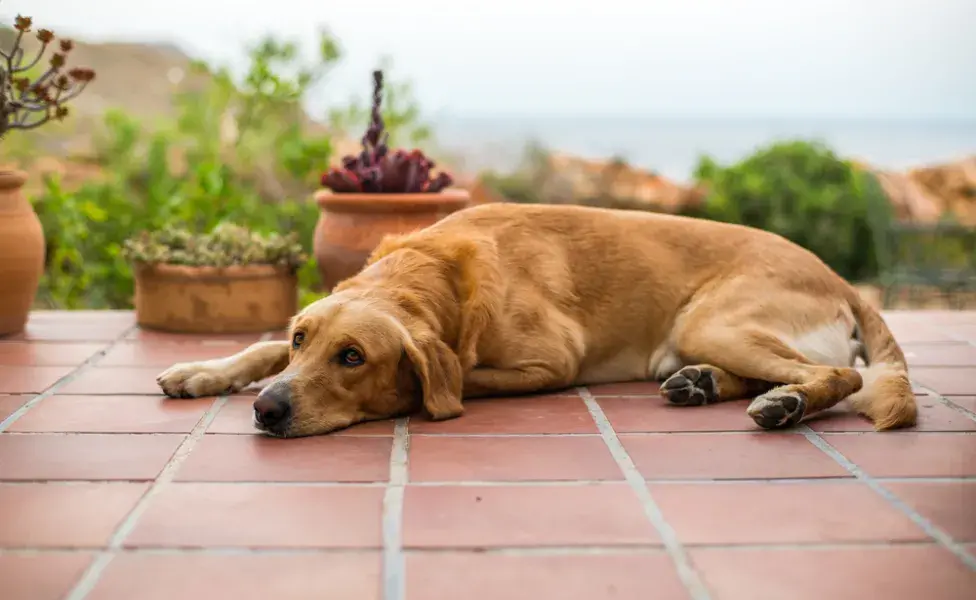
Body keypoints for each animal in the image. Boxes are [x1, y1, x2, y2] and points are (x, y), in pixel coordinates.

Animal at [156, 202, 920, 436]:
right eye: (302, 340)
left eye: (353, 358)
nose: (268, 411)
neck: (437, 273)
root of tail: (840, 278)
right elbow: (257, 349)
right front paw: (204, 369)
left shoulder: (550, 363)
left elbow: (454, 375)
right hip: (699, 336)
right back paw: (707, 386)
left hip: (711, 321)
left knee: (838, 376)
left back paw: (784, 403)